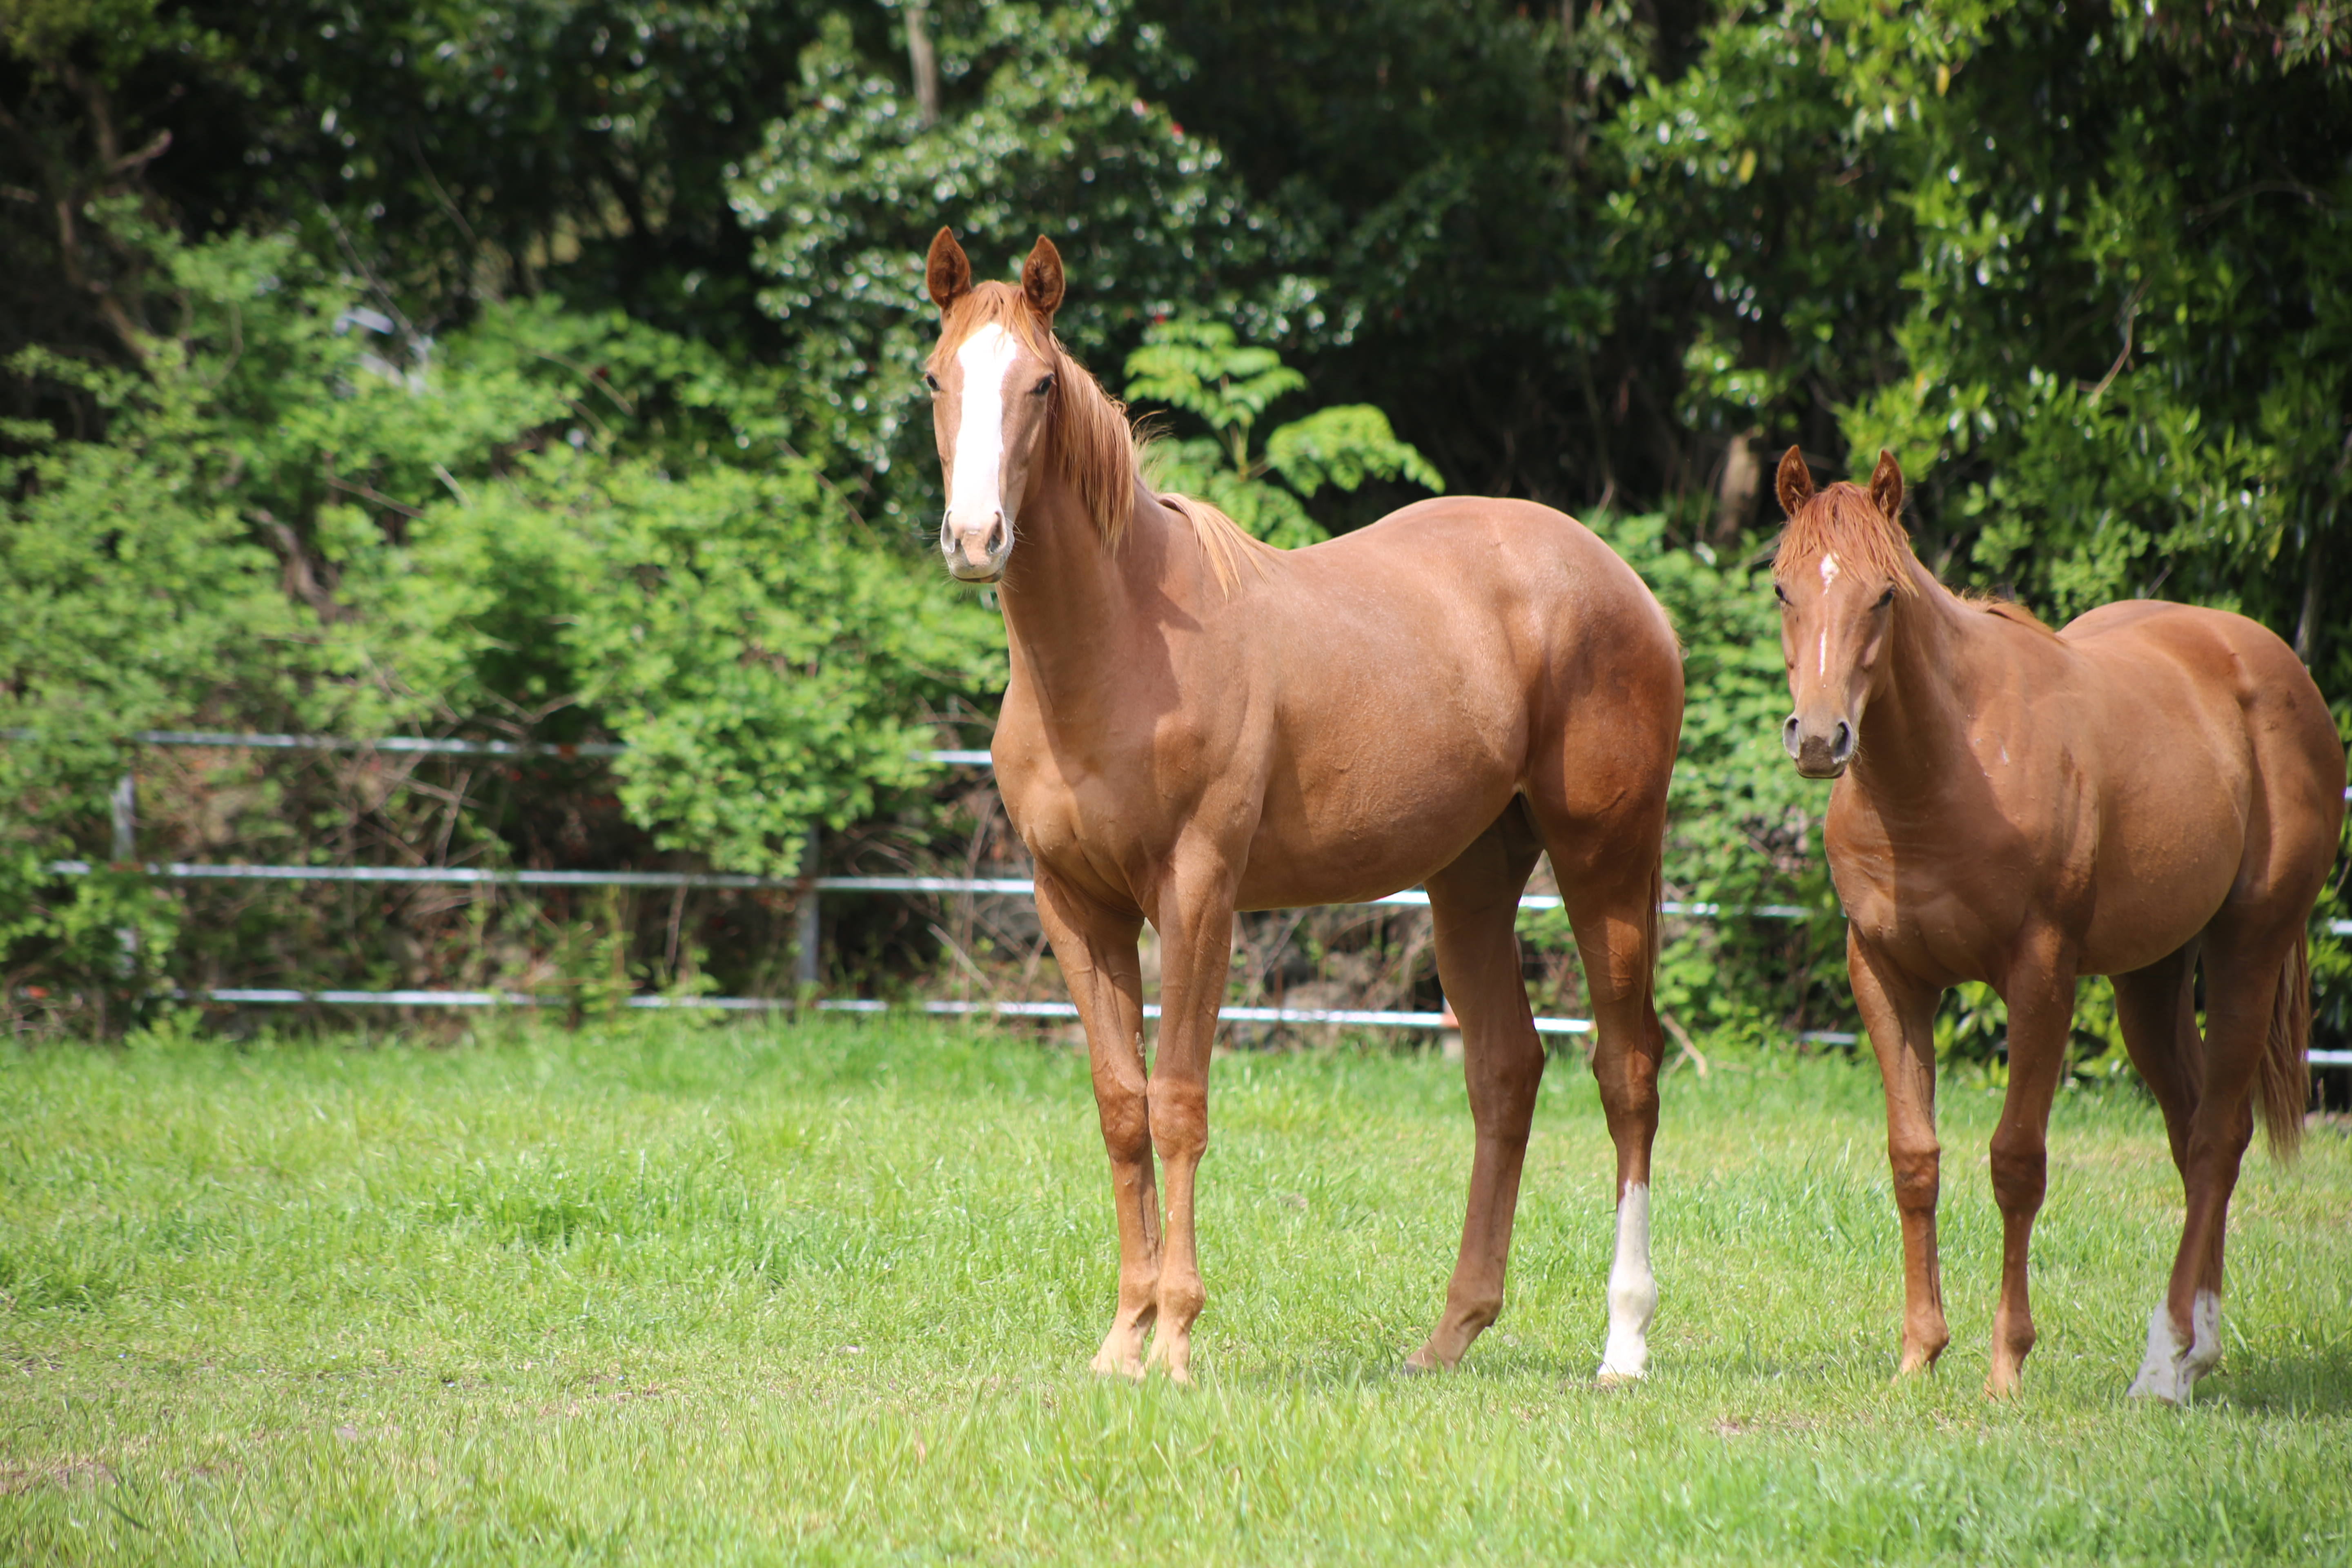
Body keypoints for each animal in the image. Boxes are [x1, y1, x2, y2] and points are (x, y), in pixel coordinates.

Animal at [922, 230, 1693, 1382]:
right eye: (935, 379)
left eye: (1041, 384)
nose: (976, 538)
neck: (1115, 648)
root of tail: (1623, 585)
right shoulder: (1074, 906)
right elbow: (1120, 1109)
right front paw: (1121, 1340)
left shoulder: (1197, 893)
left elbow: (1179, 1103)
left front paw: (1175, 1339)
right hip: (1471, 879)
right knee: (1506, 1071)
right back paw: (1447, 1336)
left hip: (1604, 859)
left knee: (1626, 1071)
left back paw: (1624, 1342)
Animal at [1768, 446, 2342, 1401]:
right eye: (1783, 588)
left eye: (1883, 595)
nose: (1819, 739)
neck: (1941, 771)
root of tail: (2269, 662)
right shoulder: (1886, 977)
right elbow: (1913, 1158)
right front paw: (1919, 1355)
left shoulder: (2039, 977)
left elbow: (2015, 1163)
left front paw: (2006, 1364)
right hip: (2149, 979)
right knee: (2199, 1135)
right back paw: (2195, 1353)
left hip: (2249, 948)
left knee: (2216, 1140)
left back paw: (2164, 1365)